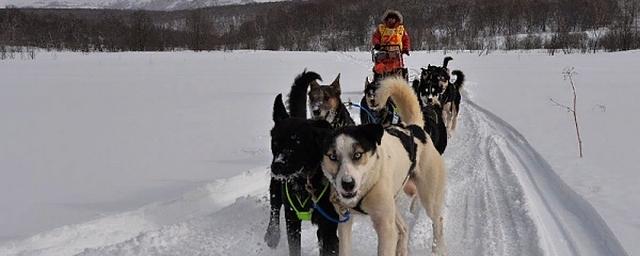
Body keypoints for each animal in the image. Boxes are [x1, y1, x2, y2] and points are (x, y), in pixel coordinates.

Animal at [264, 71, 340, 256]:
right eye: (275, 142)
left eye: (297, 142)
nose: (277, 166)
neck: (304, 180)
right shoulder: (292, 219)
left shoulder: (328, 225)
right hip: (276, 185)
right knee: (274, 206)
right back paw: (272, 234)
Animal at [320, 77, 444, 255]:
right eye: (332, 156)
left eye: (357, 154)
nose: (347, 184)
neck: (368, 183)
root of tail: (415, 128)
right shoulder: (345, 222)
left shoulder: (385, 227)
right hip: (392, 204)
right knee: (404, 228)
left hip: (428, 197)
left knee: (438, 221)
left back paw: (438, 248)